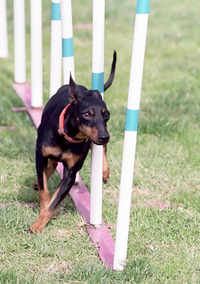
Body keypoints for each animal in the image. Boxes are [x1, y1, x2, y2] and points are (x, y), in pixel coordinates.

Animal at [29, 51, 117, 233]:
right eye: (87, 114)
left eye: (106, 115)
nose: (105, 136)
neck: (68, 138)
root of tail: (88, 90)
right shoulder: (40, 155)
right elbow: (44, 191)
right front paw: (40, 217)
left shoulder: (70, 174)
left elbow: (54, 201)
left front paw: (39, 223)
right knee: (51, 166)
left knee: (102, 149)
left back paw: (104, 170)